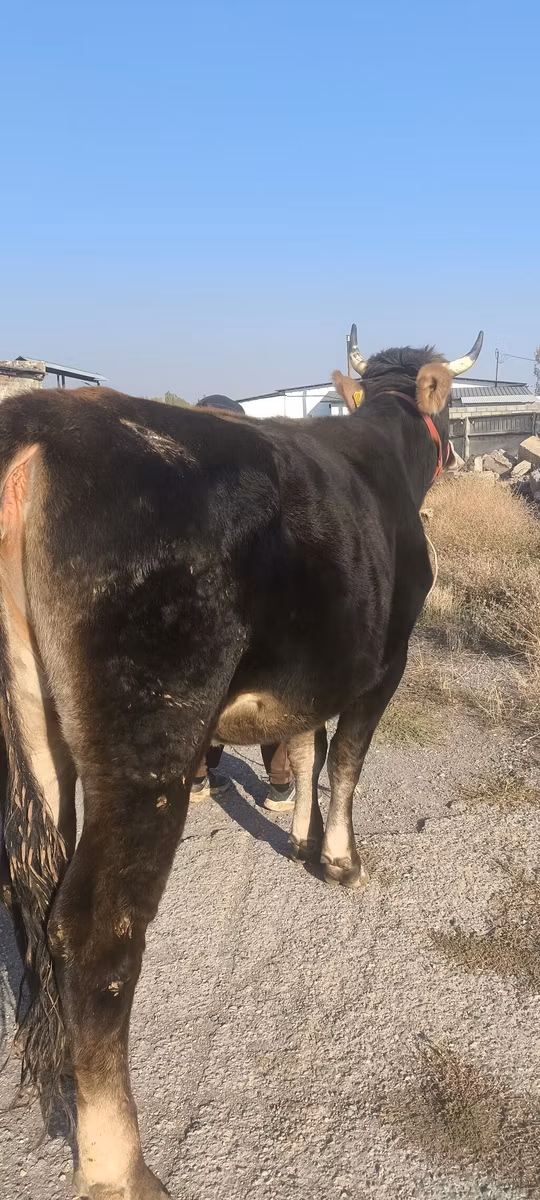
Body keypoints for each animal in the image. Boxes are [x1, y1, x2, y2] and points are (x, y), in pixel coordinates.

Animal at [0, 330, 482, 1198]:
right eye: (451, 405)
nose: (456, 460)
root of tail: (39, 425)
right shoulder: (384, 658)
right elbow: (347, 758)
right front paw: (340, 859)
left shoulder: (316, 668)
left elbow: (308, 742)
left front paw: (296, 835)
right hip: (150, 731)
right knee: (95, 932)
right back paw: (120, 1166)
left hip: (35, 729)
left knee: (31, 888)